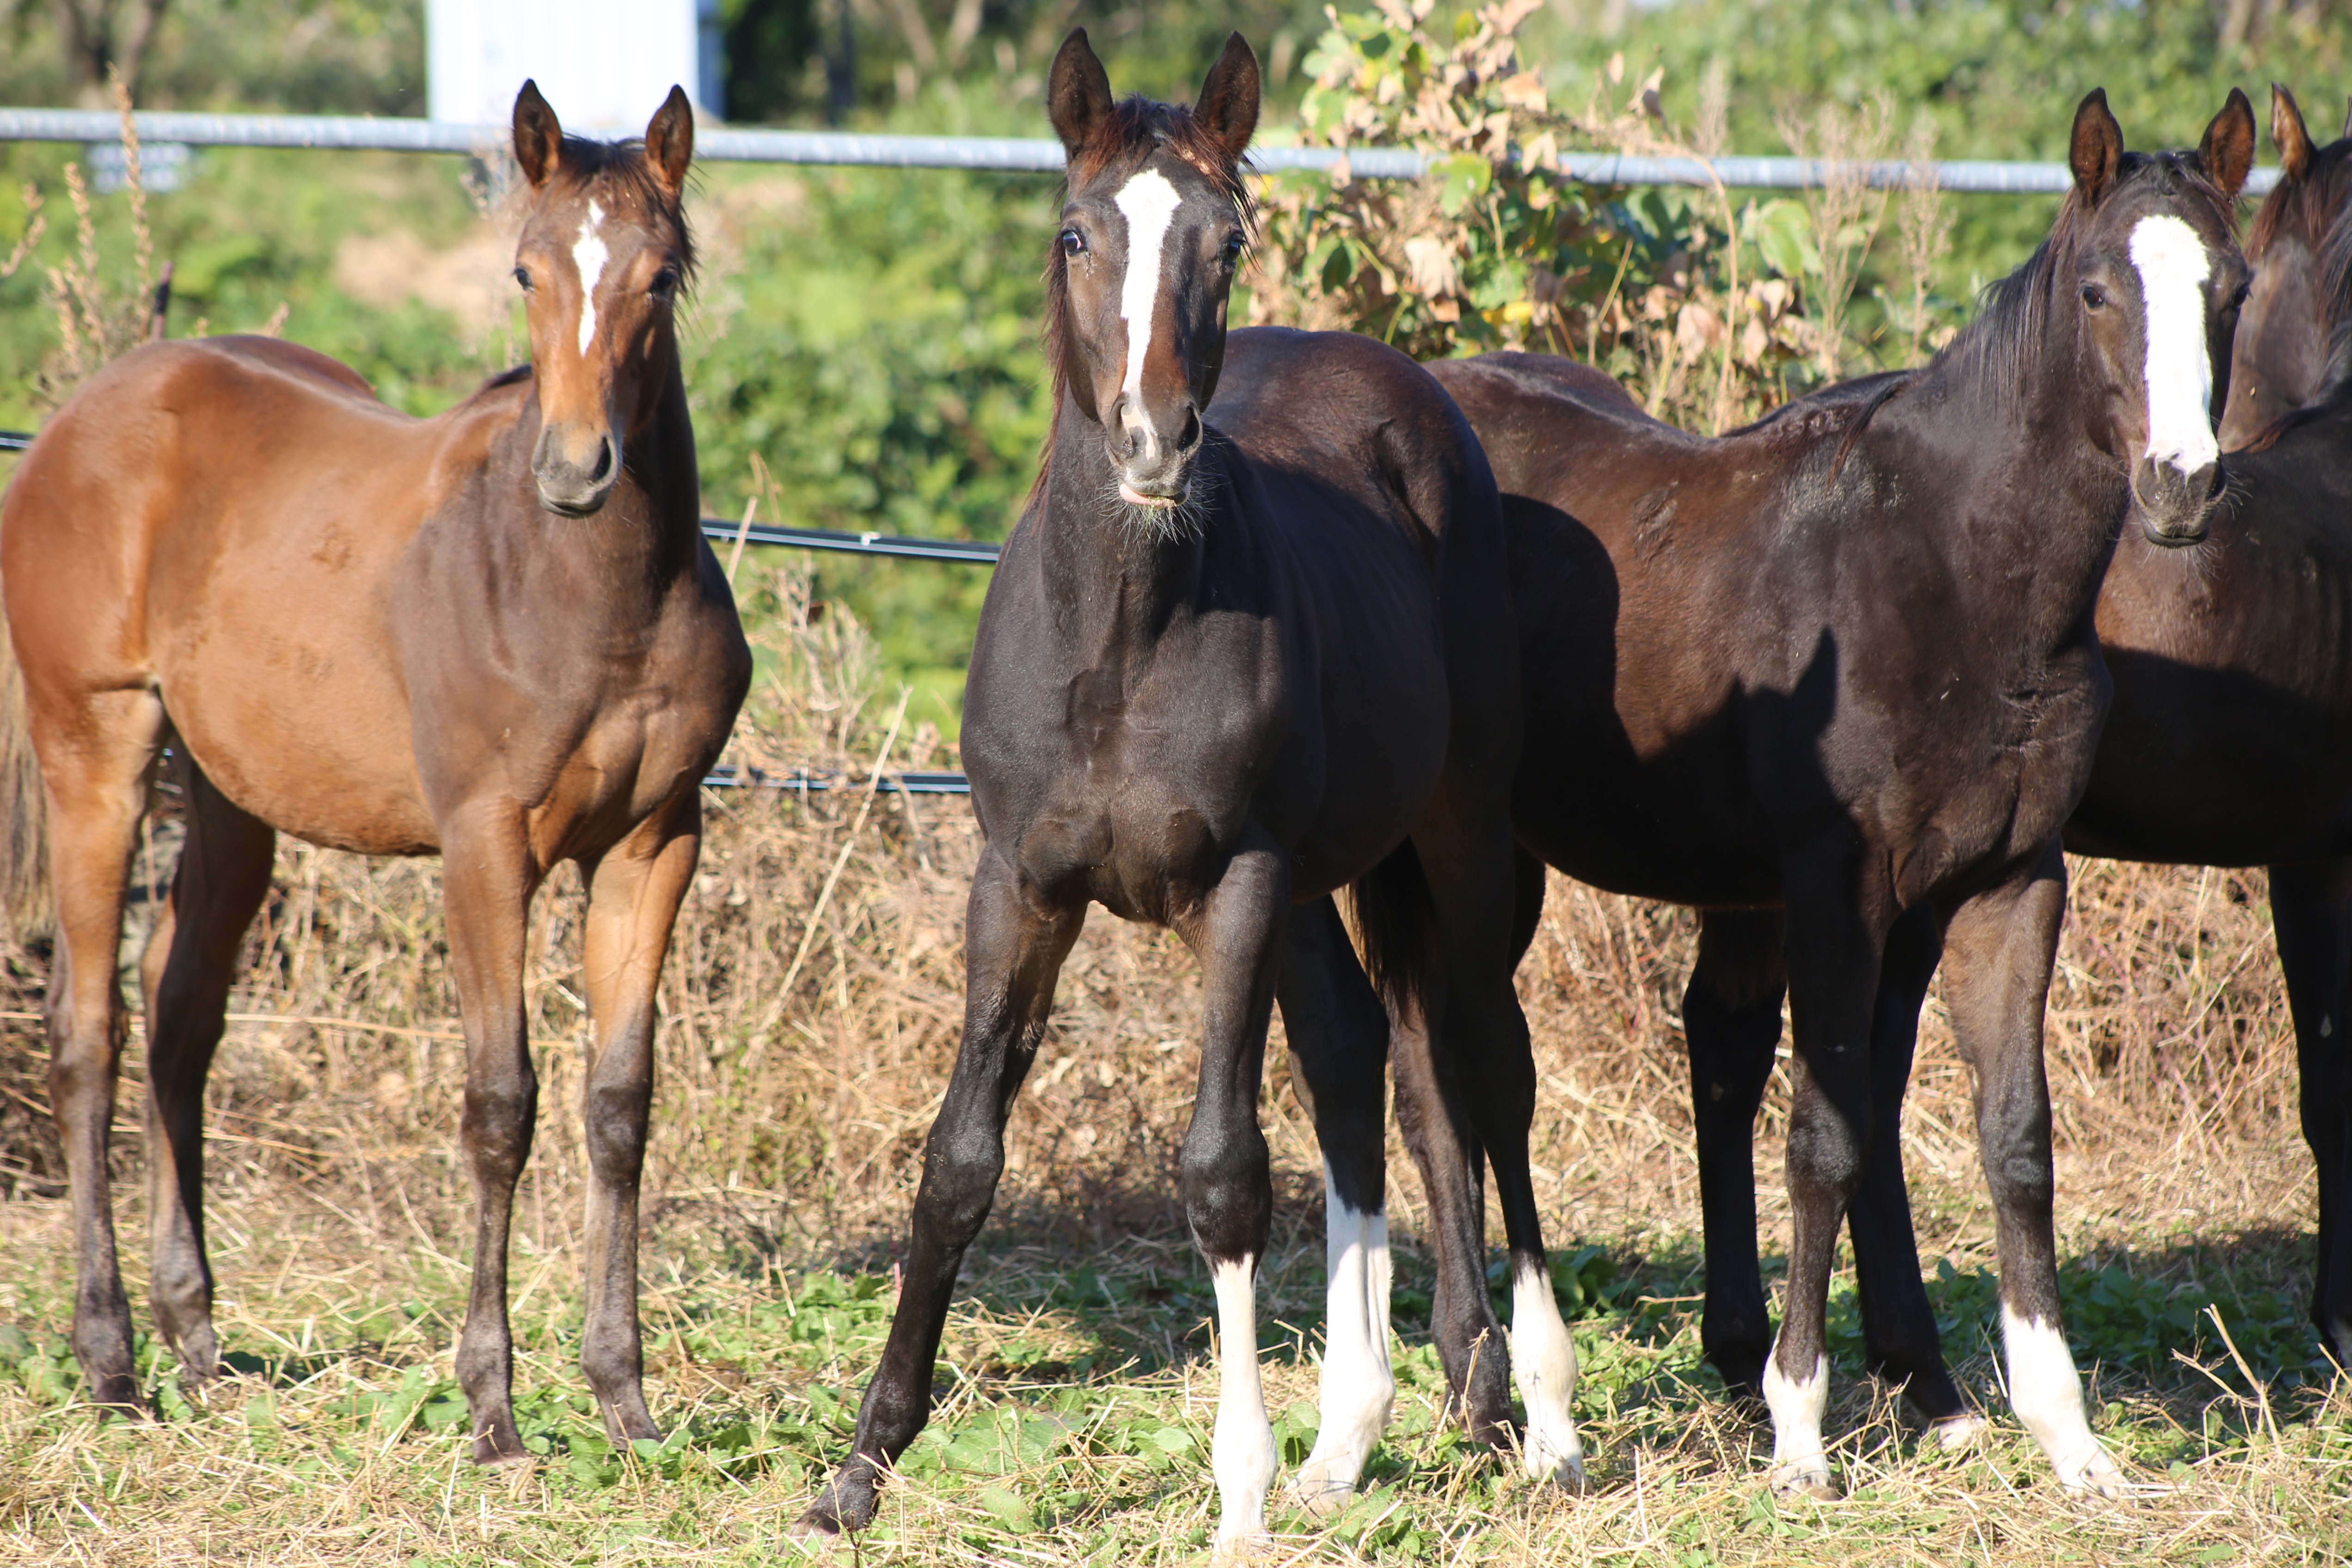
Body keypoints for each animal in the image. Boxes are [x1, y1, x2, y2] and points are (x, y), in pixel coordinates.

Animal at [0, 83, 747, 1457]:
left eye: (660, 278)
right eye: (524, 270)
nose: (576, 471)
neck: (587, 593)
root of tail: (85, 410)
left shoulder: (655, 843)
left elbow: (620, 1105)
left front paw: (623, 1400)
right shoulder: (485, 845)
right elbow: (500, 1105)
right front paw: (494, 1411)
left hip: (234, 799)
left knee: (180, 1015)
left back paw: (197, 1342)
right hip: (98, 752)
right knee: (90, 1030)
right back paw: (110, 1360)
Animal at [799, 31, 1571, 1551]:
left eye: (1227, 239)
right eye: (1073, 232)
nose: (1152, 442)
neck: (1116, 641)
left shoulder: (1239, 881)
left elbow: (1221, 1170)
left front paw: (1239, 1485)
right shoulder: (1018, 883)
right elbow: (958, 1156)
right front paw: (864, 1459)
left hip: (1450, 835)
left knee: (1481, 1059)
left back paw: (1540, 1407)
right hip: (1336, 876)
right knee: (1373, 1057)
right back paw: (1374, 1422)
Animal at [1421, 88, 2248, 1495]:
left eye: (2231, 288)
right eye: (2096, 291)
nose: (2180, 487)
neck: (1949, 571)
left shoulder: (2005, 882)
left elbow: (2012, 1138)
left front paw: (2063, 1434)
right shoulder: (1835, 886)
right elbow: (1823, 1133)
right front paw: (1801, 1427)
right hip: (1447, 854)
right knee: (1442, 1071)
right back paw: (1492, 1390)